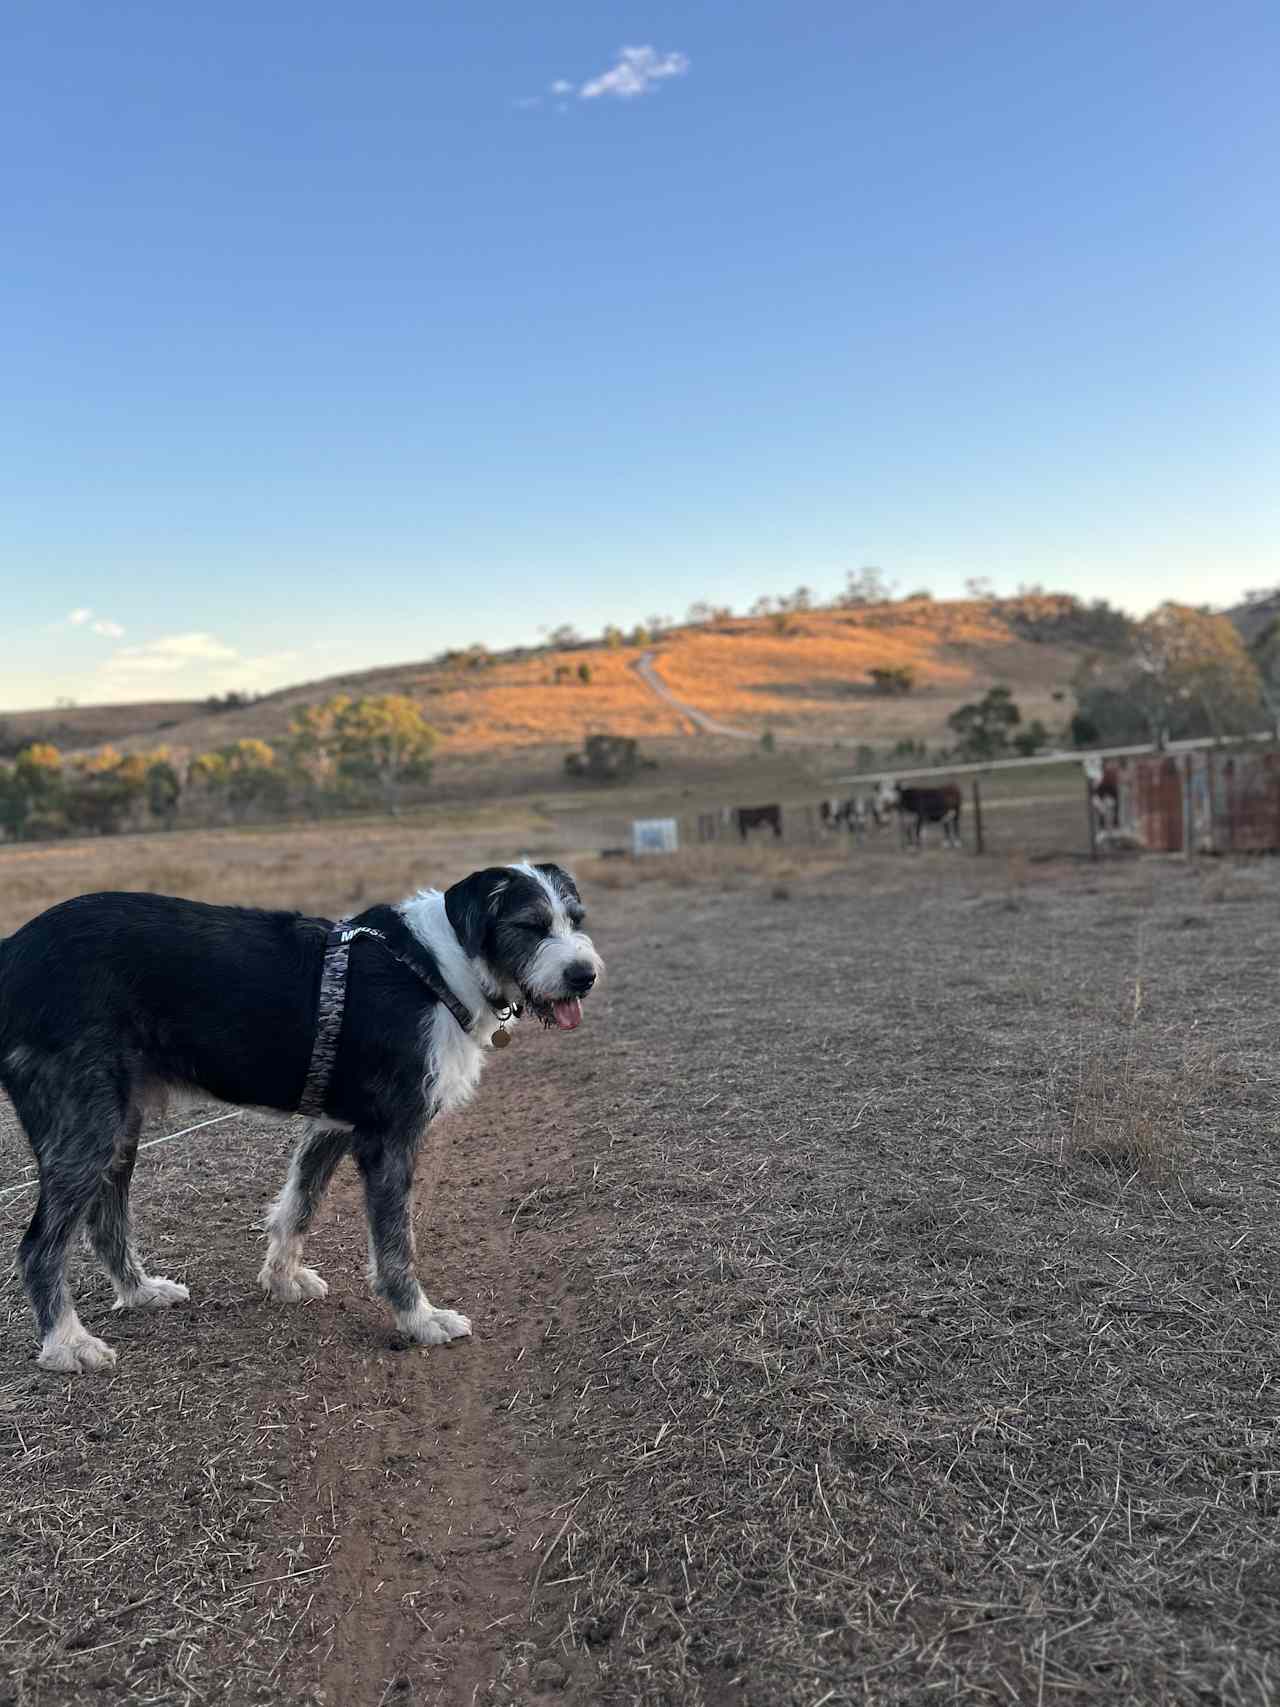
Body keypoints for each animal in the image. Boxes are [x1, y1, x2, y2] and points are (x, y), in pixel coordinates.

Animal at [0, 867, 604, 1372]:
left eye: (576, 919)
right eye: (529, 926)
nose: (584, 976)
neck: (440, 969)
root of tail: (11, 952)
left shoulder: (333, 1126)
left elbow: (299, 1206)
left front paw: (281, 1278)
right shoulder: (389, 1138)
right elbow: (395, 1245)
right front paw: (419, 1319)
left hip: (118, 1125)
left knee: (105, 1220)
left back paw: (139, 1291)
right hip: (86, 1129)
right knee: (39, 1246)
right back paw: (66, 1343)